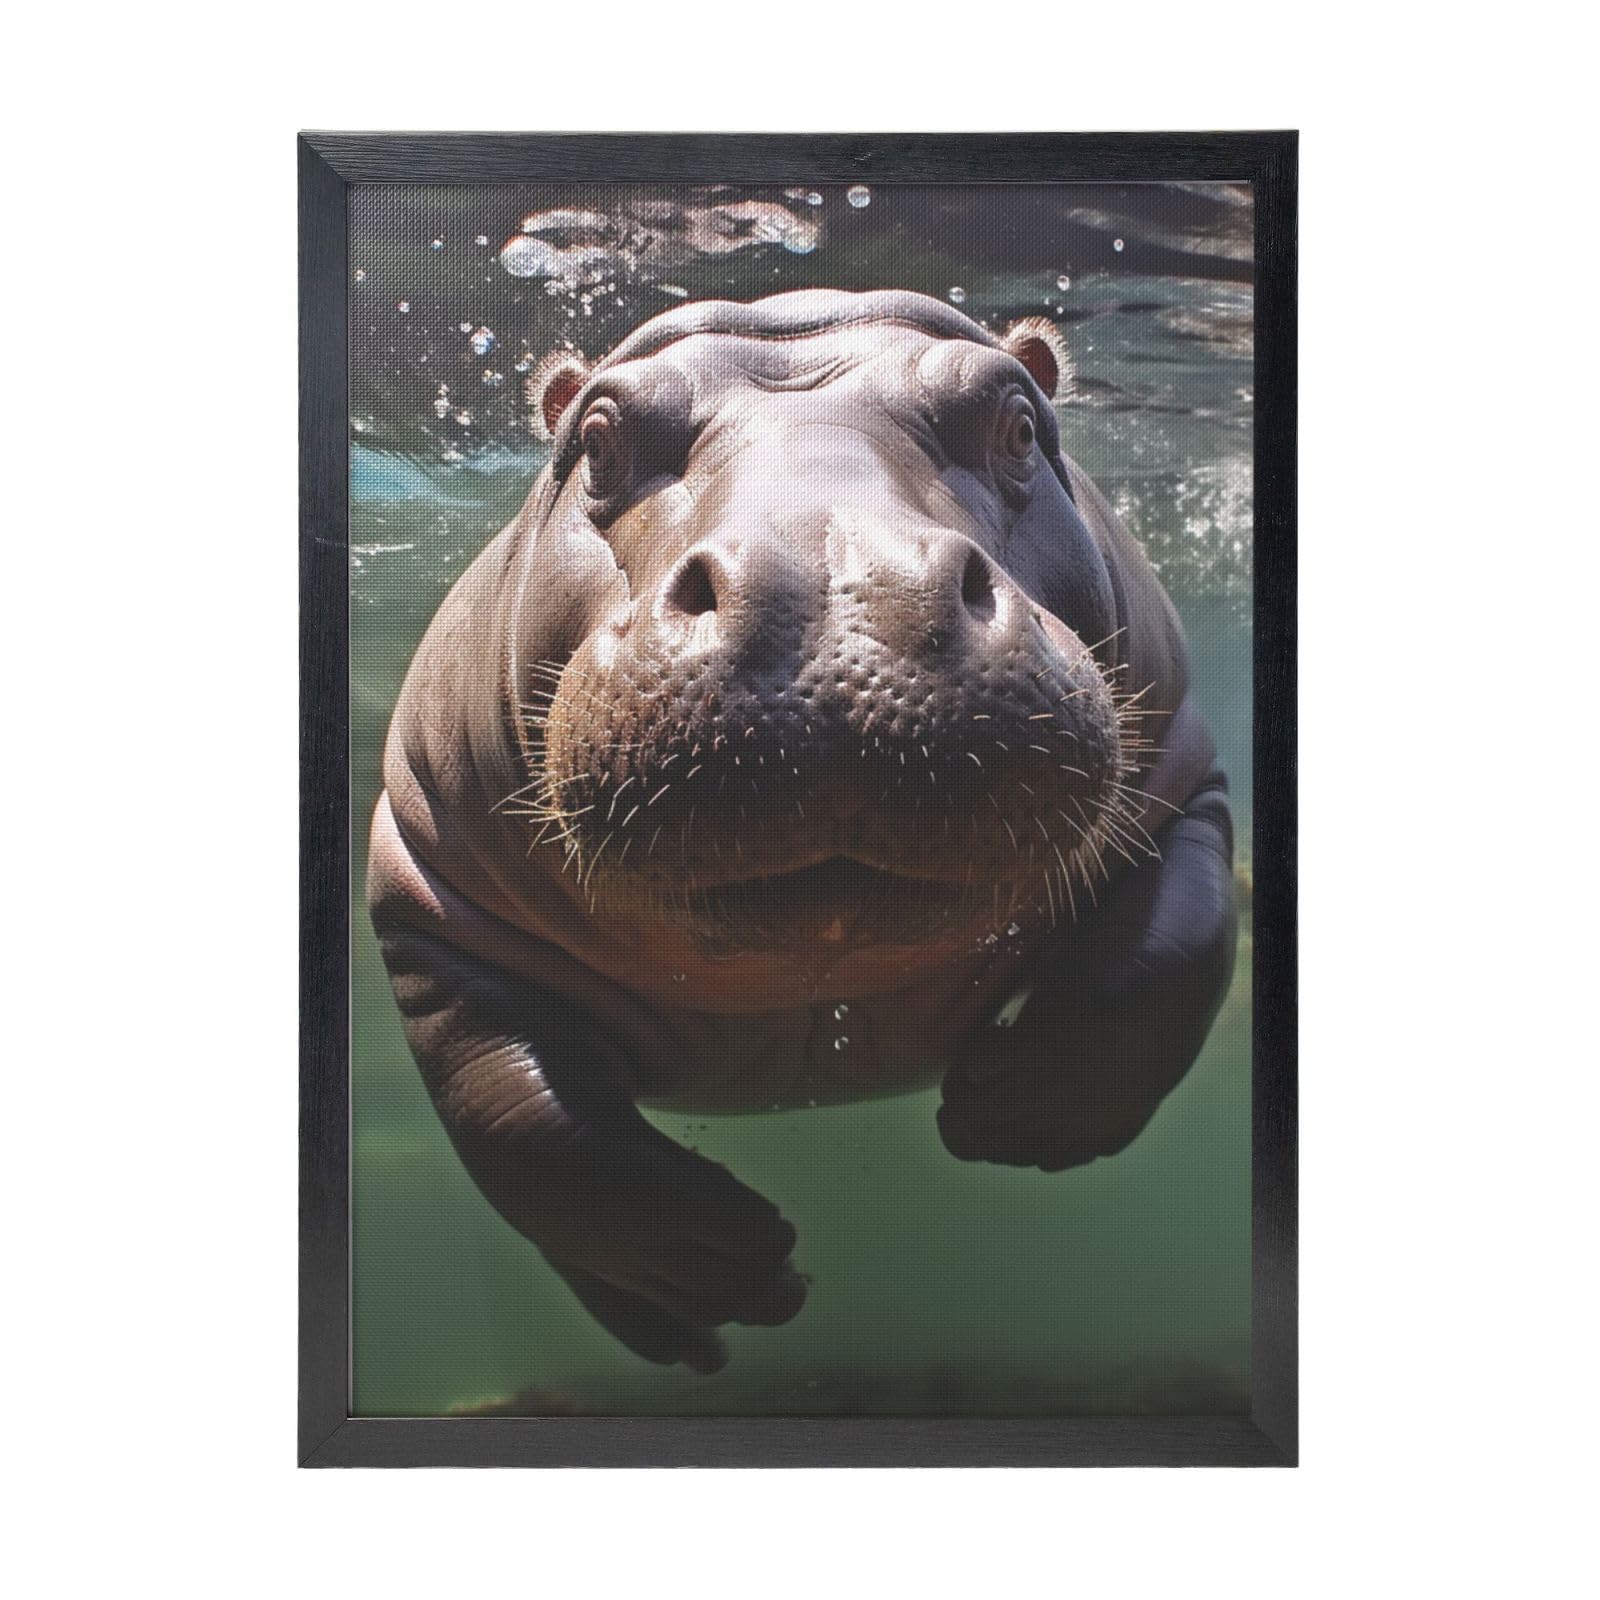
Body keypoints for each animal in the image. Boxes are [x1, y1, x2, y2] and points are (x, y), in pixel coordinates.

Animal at [367, 289, 1237, 1373]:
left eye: (1017, 424)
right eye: (597, 440)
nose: (830, 584)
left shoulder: (1185, 787)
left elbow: (1164, 962)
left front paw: (1010, 1113)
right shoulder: (426, 889)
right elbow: (520, 1116)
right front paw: (726, 1265)